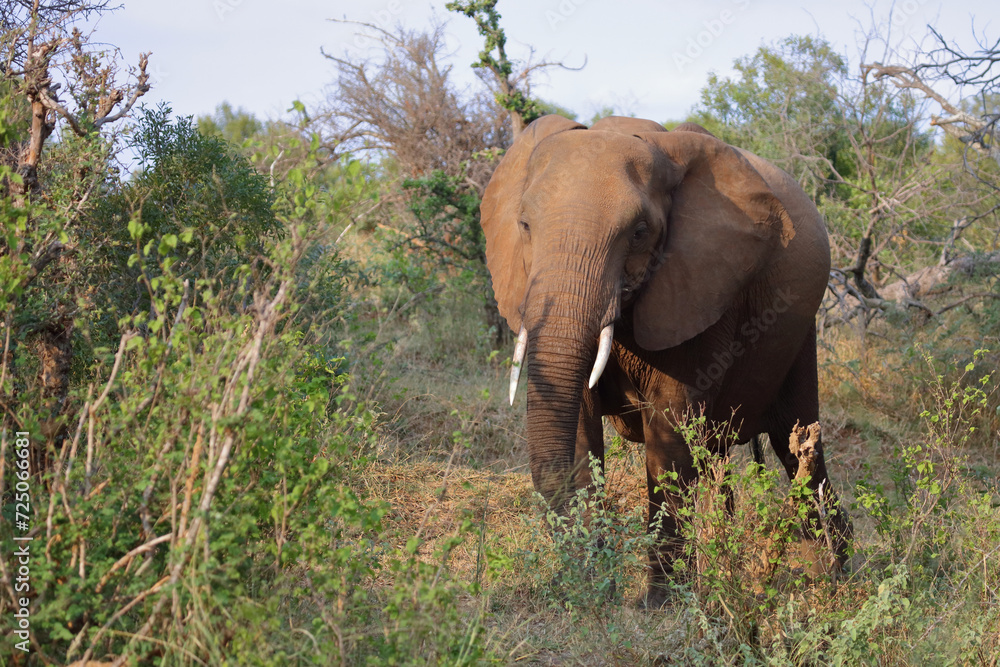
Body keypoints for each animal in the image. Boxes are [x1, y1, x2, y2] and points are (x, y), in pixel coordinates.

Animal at [480, 112, 848, 604]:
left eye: (639, 233)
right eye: (523, 225)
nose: (594, 576)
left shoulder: (701, 286)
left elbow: (670, 434)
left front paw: (658, 605)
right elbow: (580, 430)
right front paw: (590, 589)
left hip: (801, 332)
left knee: (800, 446)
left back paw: (835, 575)